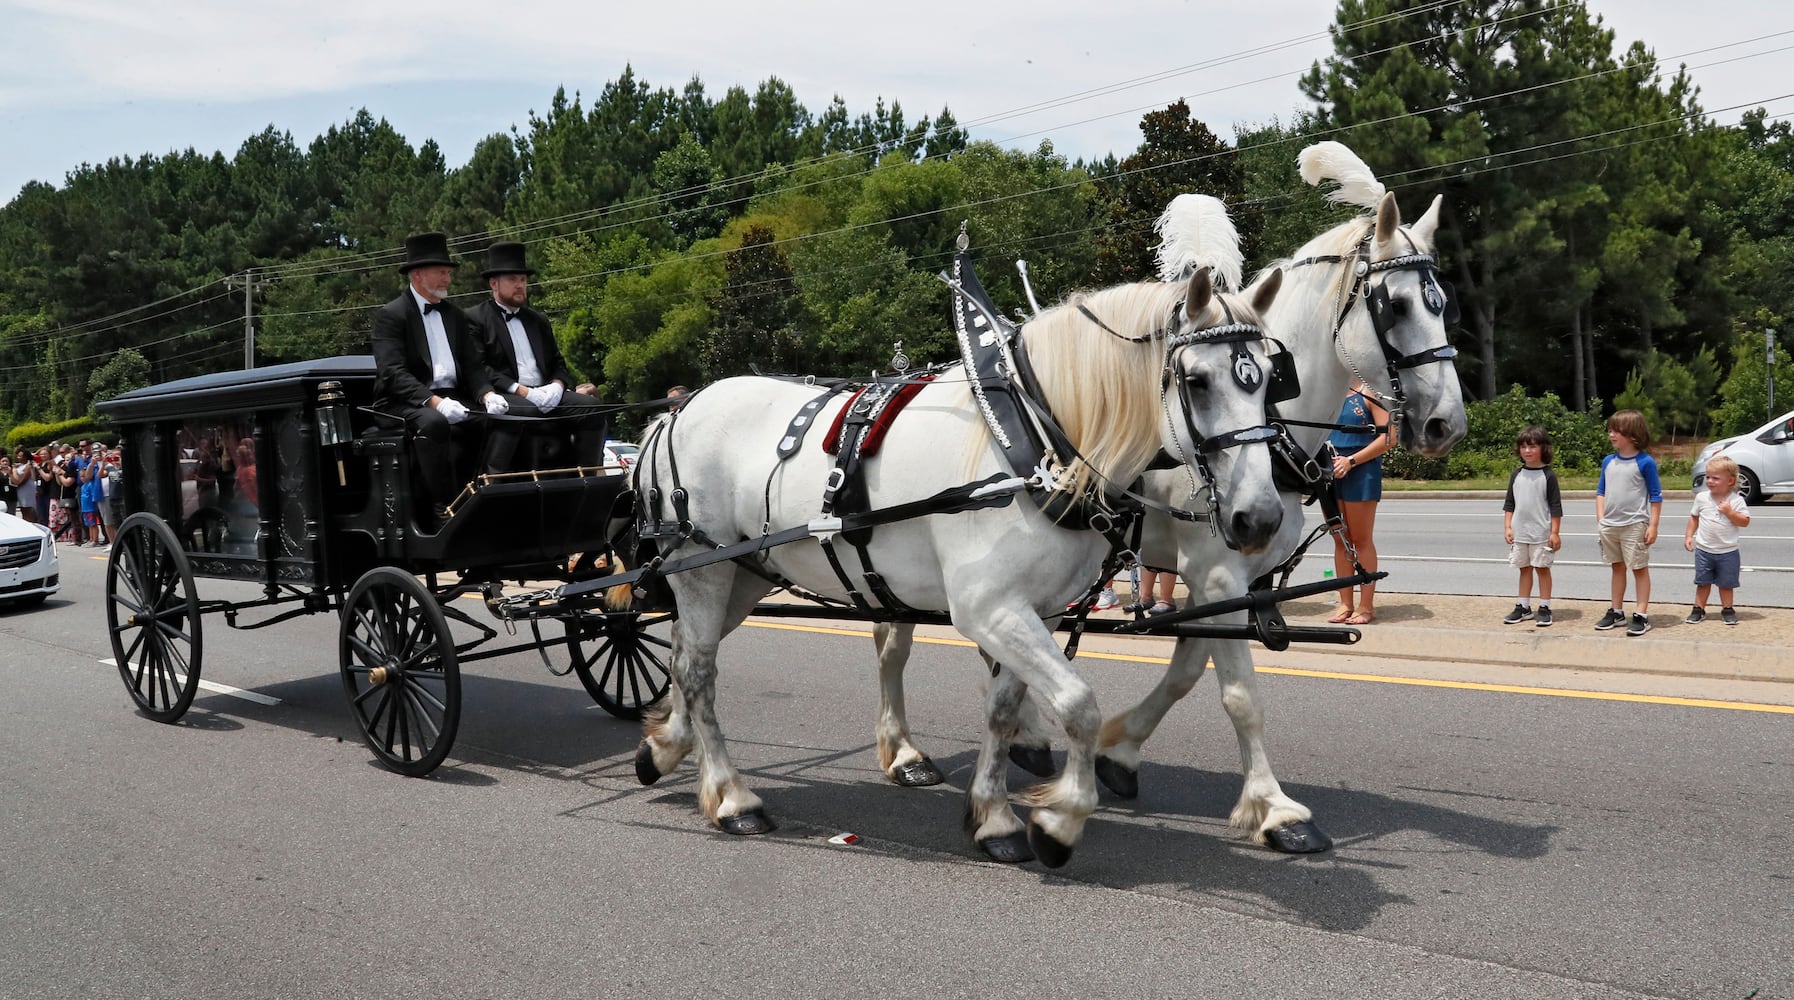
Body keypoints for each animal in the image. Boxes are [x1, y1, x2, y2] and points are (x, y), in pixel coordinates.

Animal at [631, 251, 1291, 865]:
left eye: (1267, 379)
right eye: (1198, 380)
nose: (1260, 518)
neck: (1035, 442)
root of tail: (676, 411)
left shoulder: (1036, 609)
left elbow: (1004, 708)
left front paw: (995, 819)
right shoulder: (986, 608)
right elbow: (1078, 704)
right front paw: (1060, 821)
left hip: (741, 574)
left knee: (686, 655)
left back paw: (665, 747)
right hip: (704, 569)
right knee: (699, 672)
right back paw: (732, 796)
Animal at [868, 144, 1471, 854]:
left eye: (1443, 302)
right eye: (1396, 306)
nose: (1447, 424)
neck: (1270, 425)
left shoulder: (1236, 577)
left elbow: (1189, 669)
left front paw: (1118, 754)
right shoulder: (1213, 567)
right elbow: (1238, 694)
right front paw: (1276, 810)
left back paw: (1026, 740)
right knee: (894, 641)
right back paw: (906, 752)